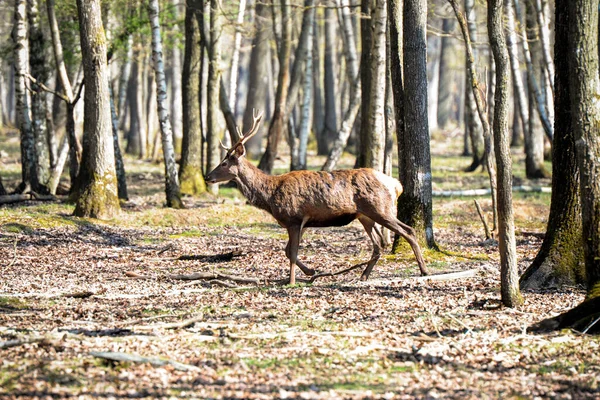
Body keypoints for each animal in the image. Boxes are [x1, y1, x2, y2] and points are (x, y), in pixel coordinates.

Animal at [205, 109, 426, 284]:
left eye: (224, 163)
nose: (207, 176)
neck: (270, 195)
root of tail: (396, 184)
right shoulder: (302, 222)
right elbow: (287, 251)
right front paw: (311, 272)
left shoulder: (294, 218)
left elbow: (292, 252)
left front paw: (291, 281)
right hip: (365, 216)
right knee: (379, 244)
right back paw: (363, 276)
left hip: (380, 208)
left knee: (408, 230)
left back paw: (423, 270)